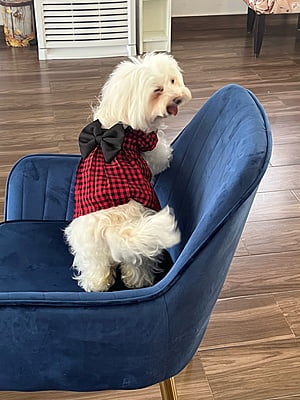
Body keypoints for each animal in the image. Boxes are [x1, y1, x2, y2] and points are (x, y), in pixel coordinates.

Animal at [64, 52, 191, 290]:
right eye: (158, 90)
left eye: (172, 80)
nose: (178, 98)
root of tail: (111, 229)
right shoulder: (148, 143)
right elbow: (160, 156)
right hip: (139, 250)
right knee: (137, 269)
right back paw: (139, 282)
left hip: (90, 251)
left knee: (96, 272)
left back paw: (95, 285)